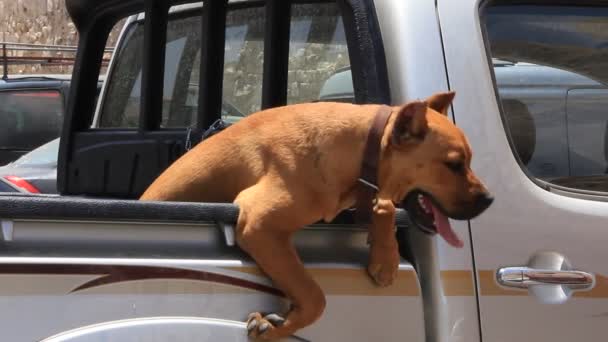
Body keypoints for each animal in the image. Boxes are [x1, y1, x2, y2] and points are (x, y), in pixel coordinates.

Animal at [141, 92, 494, 340]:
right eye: (454, 164)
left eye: (468, 160)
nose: (489, 200)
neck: (361, 149)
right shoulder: (260, 224)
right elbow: (314, 296)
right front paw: (277, 326)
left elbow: (385, 205)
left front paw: (385, 259)